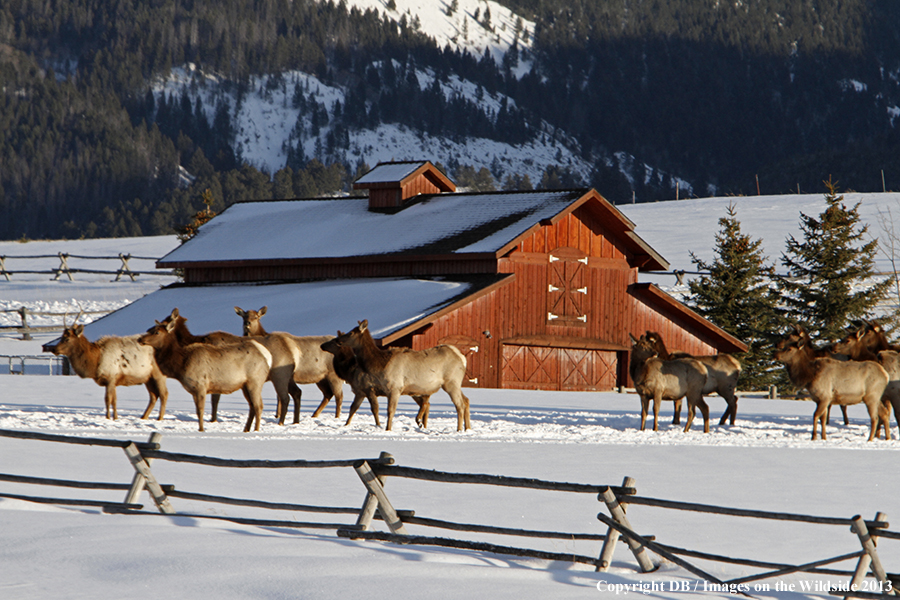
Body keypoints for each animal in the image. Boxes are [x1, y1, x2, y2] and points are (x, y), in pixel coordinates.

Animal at [42, 326, 170, 420]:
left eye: (67, 339)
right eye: (61, 337)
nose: (54, 349)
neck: (95, 362)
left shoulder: (111, 378)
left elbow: (108, 399)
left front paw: (109, 418)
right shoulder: (112, 380)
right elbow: (113, 400)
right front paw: (115, 417)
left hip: (158, 375)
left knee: (164, 394)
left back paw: (159, 418)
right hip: (147, 378)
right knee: (153, 396)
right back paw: (143, 417)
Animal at [139, 318, 272, 432]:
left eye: (156, 332)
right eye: (149, 329)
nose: (140, 339)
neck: (181, 365)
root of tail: (266, 356)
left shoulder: (200, 385)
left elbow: (200, 410)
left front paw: (201, 429)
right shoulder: (194, 390)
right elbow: (198, 411)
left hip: (255, 381)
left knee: (258, 406)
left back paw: (256, 430)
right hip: (245, 385)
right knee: (252, 406)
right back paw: (246, 430)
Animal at [330, 322, 472, 434]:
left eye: (351, 333)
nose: (337, 340)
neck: (380, 365)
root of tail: (463, 358)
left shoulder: (394, 388)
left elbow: (390, 411)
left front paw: (388, 429)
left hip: (451, 382)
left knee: (459, 404)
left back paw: (459, 429)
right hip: (455, 384)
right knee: (466, 400)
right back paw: (467, 428)